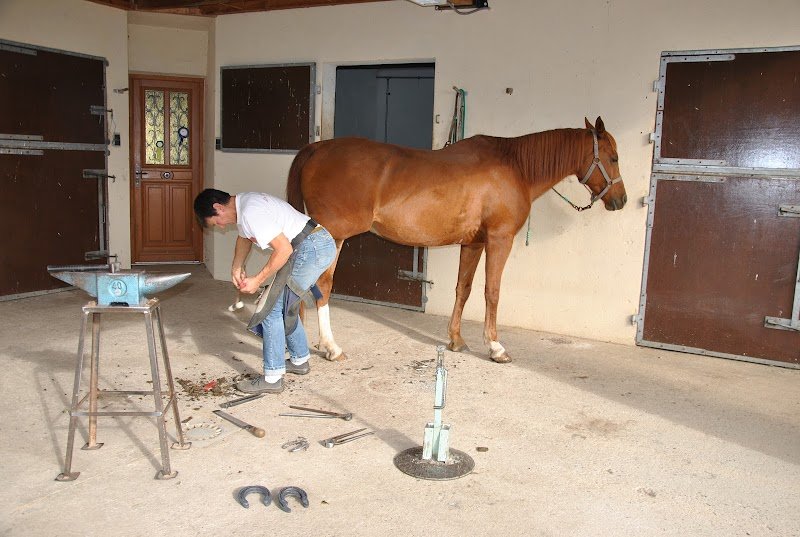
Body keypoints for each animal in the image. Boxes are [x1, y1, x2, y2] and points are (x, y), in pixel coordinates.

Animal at [286, 117, 626, 363]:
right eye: (613, 157)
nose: (620, 200)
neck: (515, 166)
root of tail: (316, 149)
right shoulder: (500, 240)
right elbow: (492, 292)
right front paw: (496, 347)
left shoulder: (473, 243)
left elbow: (464, 288)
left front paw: (456, 340)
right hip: (333, 237)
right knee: (321, 285)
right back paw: (331, 347)